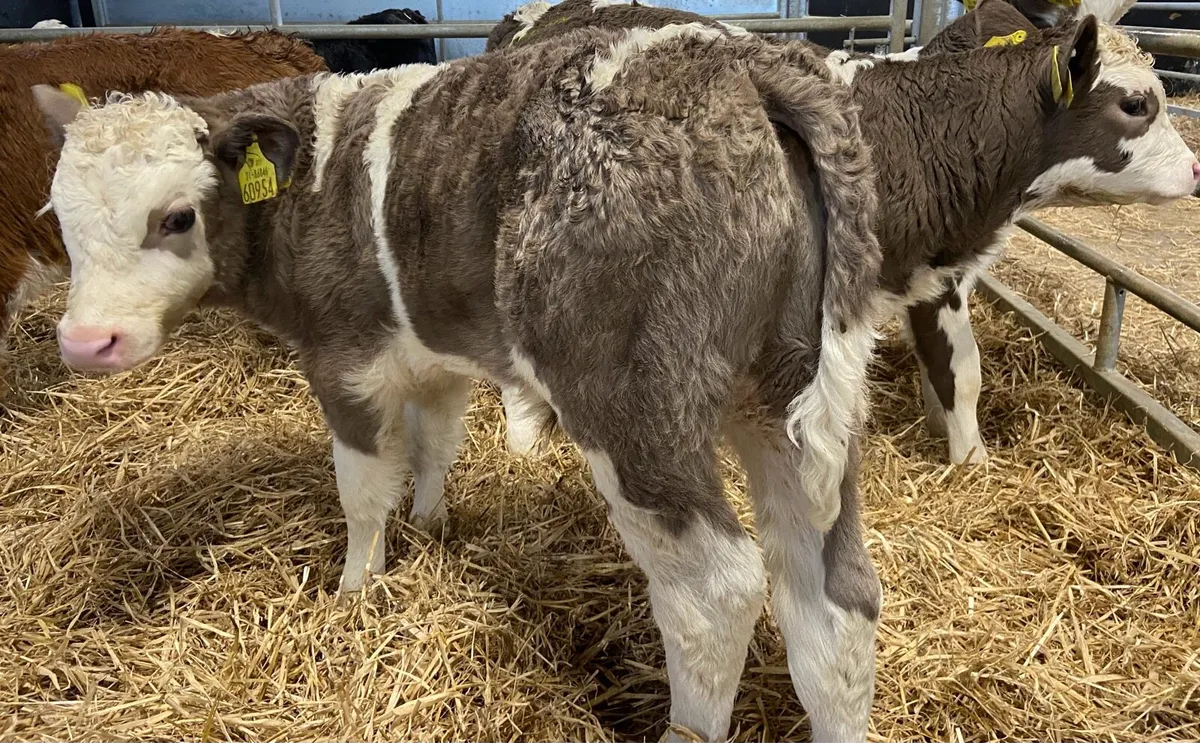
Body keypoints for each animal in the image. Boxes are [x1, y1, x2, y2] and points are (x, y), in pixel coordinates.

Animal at [486, 0, 1199, 467]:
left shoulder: (930, 274)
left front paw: (955, 445)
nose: (1195, 169)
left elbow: (950, 369)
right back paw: (526, 441)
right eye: (1137, 104)